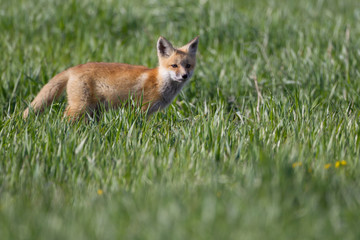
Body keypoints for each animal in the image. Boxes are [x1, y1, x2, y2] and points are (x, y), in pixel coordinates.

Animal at [23, 36, 197, 119]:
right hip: (79, 107)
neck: (159, 82)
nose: (184, 75)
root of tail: (73, 68)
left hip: (92, 110)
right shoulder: (140, 109)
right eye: (174, 65)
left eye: (188, 65)